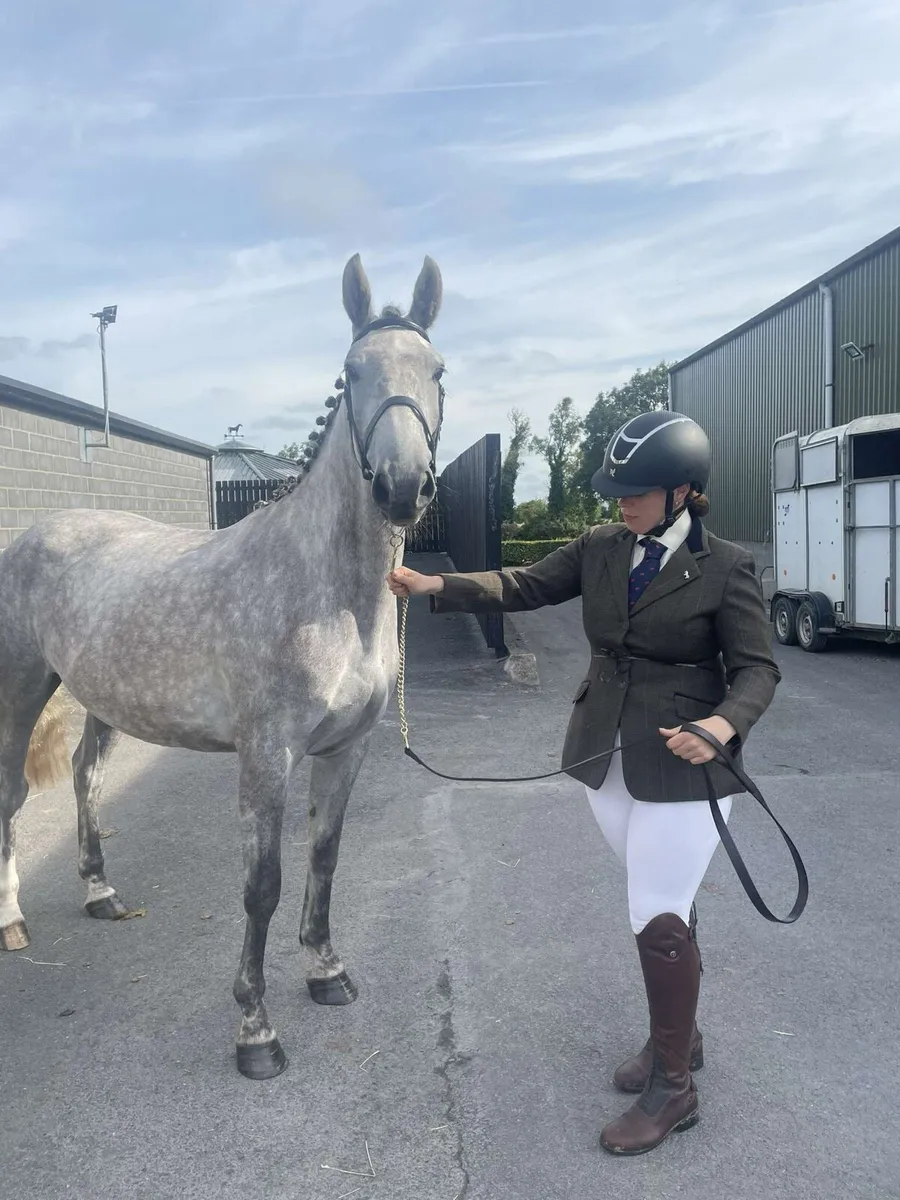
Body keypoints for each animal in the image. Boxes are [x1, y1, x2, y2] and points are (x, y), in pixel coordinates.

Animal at [0, 253, 445, 1079]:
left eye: (436, 369)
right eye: (351, 373)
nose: (402, 486)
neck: (327, 591)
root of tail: (38, 531)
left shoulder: (347, 750)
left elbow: (326, 857)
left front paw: (327, 972)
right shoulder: (266, 756)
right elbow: (262, 886)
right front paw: (256, 1031)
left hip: (103, 701)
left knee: (84, 775)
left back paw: (100, 893)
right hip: (19, 687)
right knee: (10, 793)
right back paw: (11, 917)